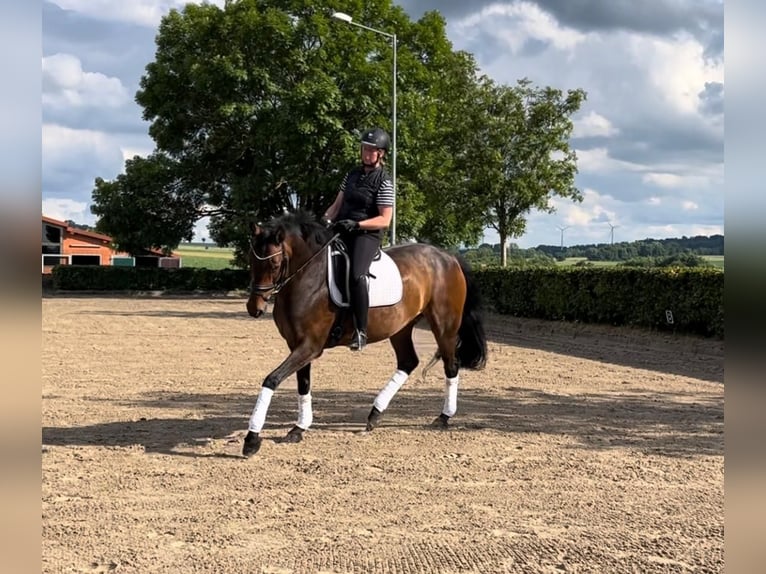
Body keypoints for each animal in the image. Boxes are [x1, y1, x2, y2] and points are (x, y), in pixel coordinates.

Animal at [243, 212, 488, 460]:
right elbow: (303, 384)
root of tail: (449, 257)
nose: (255, 308)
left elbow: (271, 380)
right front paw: (299, 428)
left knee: (451, 365)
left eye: (274, 264)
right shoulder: (298, 346)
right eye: (251, 260)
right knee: (408, 362)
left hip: (444, 326)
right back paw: (375, 414)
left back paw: (443, 417)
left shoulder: (310, 347)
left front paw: (252, 440)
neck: (308, 277)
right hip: (401, 327)